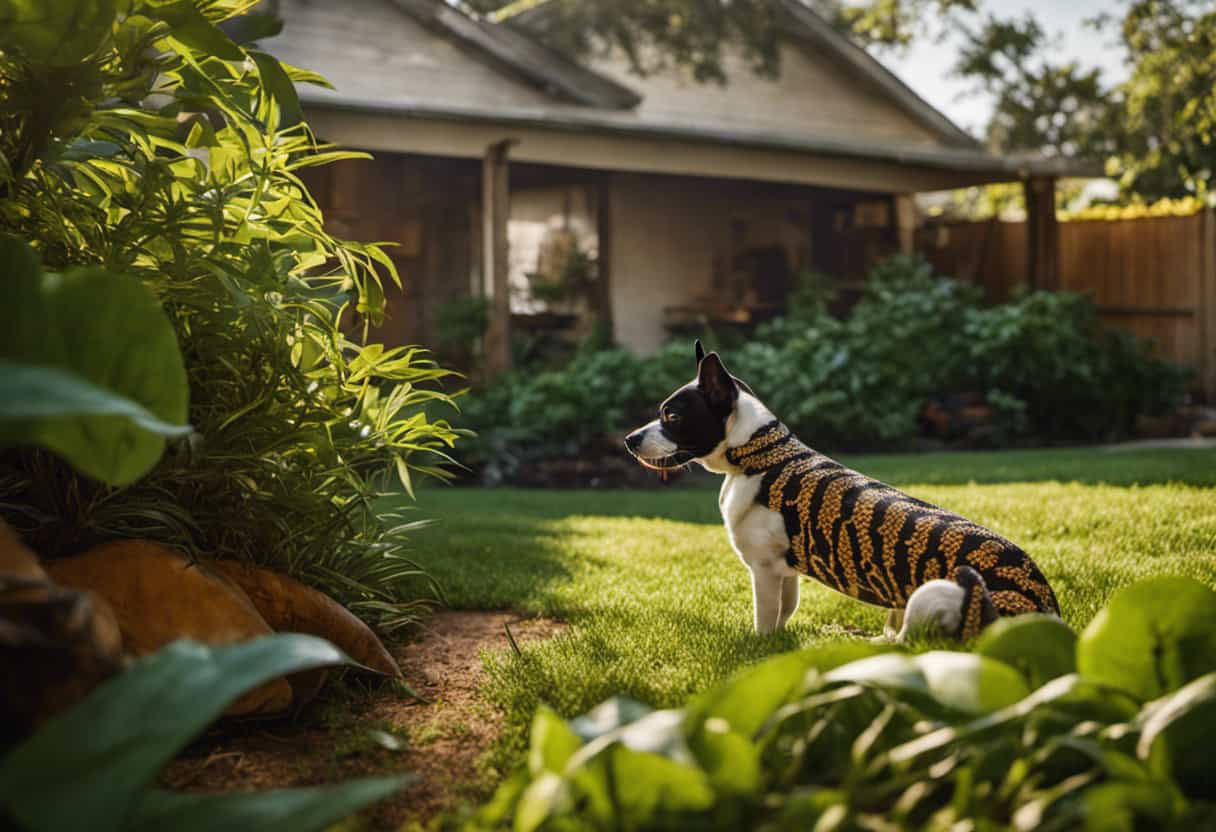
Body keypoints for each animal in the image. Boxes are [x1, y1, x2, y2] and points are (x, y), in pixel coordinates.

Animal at [622, 340, 1060, 642]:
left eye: (672, 417)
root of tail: (1046, 612)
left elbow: (765, 617)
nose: (629, 439)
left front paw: (758, 648)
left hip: (935, 593)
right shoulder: (784, 572)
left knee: (913, 645)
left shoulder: (763, 571)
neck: (759, 456)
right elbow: (785, 610)